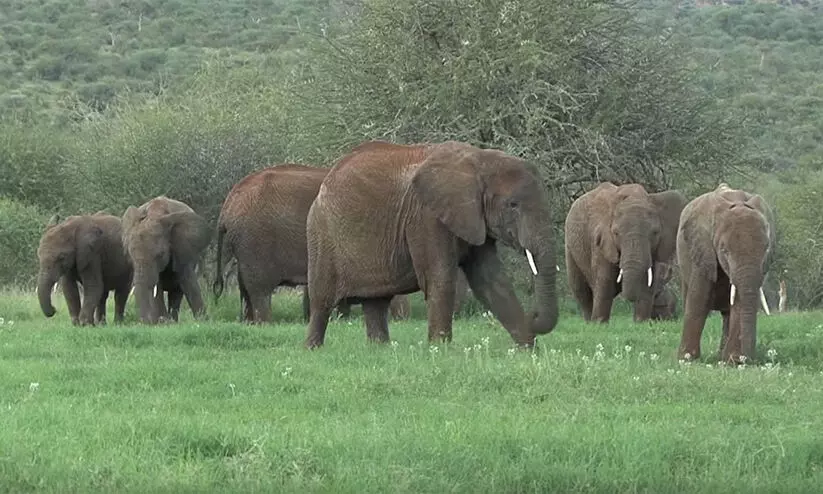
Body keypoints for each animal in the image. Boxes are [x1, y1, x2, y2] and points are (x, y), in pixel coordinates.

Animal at [212, 162, 470, 324]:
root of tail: (227, 207)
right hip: (255, 242)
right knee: (259, 289)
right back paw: (266, 324)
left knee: (246, 289)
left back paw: (251, 324)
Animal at [304, 139, 560, 348]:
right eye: (512, 205)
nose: (533, 316)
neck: (481, 160)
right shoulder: (426, 216)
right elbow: (440, 277)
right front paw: (440, 350)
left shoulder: (473, 218)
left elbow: (491, 280)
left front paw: (529, 351)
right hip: (322, 233)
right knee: (322, 301)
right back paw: (313, 349)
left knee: (376, 302)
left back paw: (380, 349)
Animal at [568, 181, 688, 324]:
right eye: (616, 233)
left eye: (655, 233)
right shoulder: (601, 242)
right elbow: (605, 282)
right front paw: (599, 324)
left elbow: (649, 282)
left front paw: (641, 323)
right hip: (570, 246)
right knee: (581, 290)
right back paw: (589, 322)